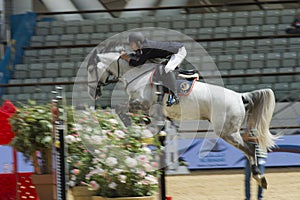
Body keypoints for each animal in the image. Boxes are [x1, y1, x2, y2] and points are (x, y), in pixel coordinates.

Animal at [86, 50, 276, 189]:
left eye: (90, 70)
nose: (92, 93)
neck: (137, 74)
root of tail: (240, 96)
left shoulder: (142, 103)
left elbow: (120, 109)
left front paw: (131, 127)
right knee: (250, 147)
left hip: (226, 131)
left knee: (249, 148)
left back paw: (260, 178)